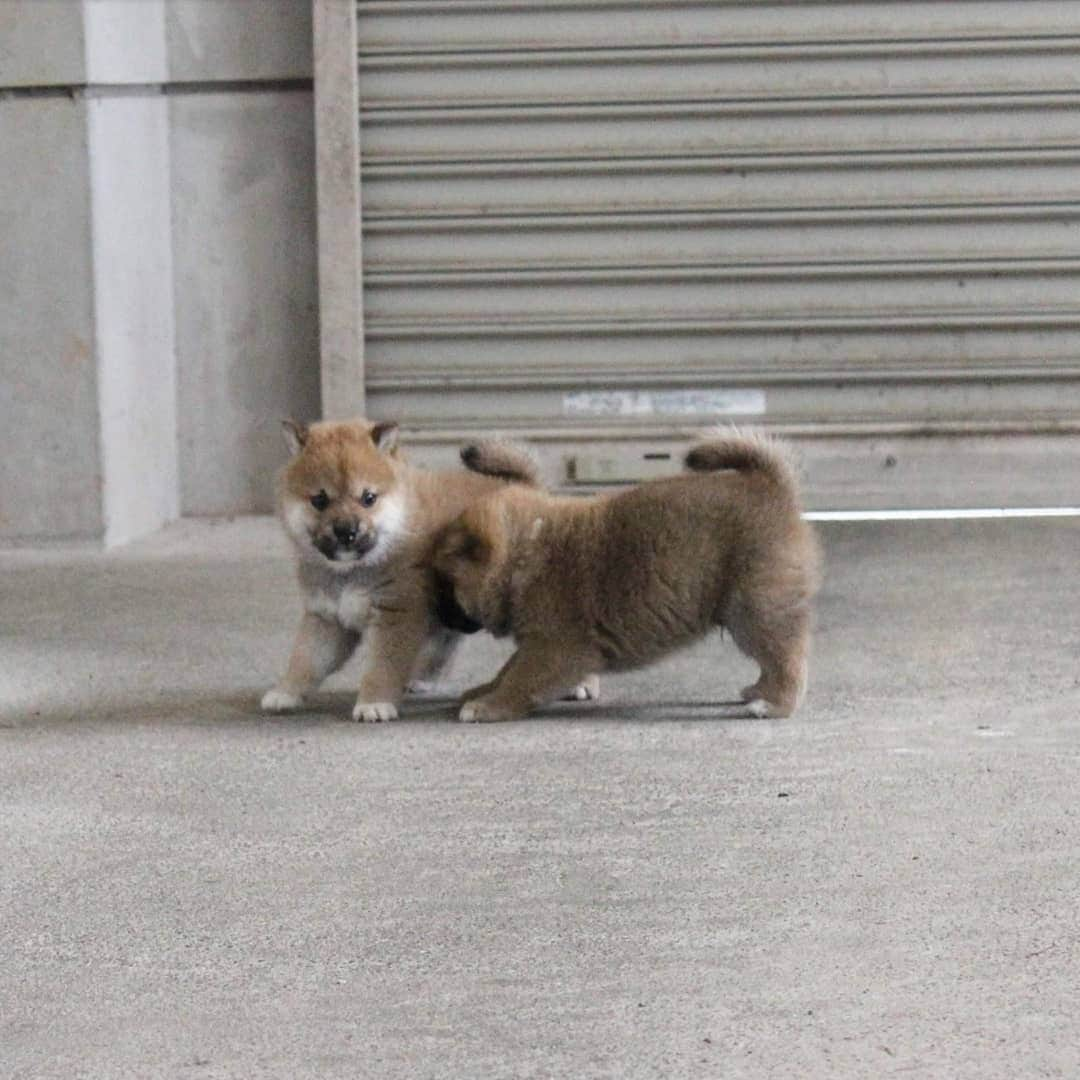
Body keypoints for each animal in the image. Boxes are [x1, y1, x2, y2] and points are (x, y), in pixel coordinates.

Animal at [262, 416, 540, 721]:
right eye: (320, 500)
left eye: (368, 498)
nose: (346, 531)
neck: (353, 570)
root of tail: (523, 485)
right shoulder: (327, 618)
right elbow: (306, 660)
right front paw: (285, 692)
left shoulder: (395, 614)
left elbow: (382, 667)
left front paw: (374, 703)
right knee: (445, 644)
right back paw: (421, 679)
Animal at [429, 425, 816, 721]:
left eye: (444, 584)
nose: (436, 616)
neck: (525, 557)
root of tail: (771, 486)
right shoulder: (540, 644)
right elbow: (507, 670)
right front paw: (484, 690)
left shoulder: (553, 647)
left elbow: (519, 679)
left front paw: (489, 704)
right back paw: (758, 691)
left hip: (756, 611)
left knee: (785, 661)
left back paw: (773, 704)